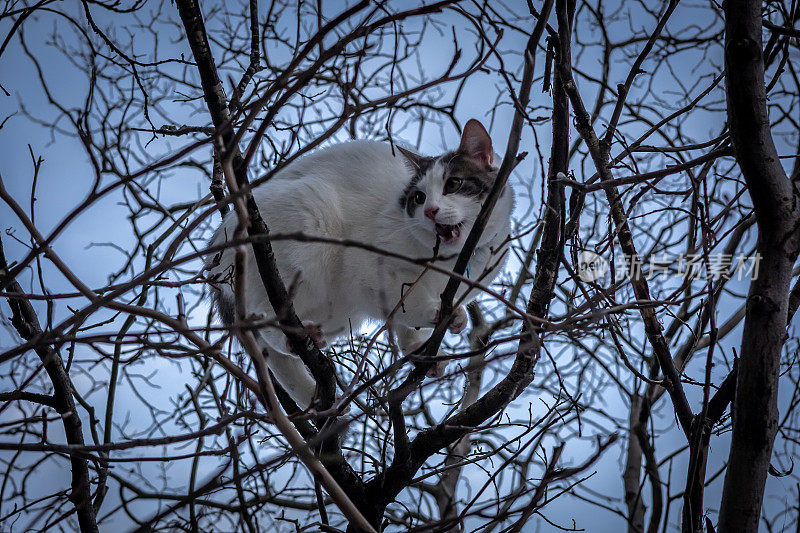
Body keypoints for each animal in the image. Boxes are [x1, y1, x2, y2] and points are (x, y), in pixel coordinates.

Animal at [208, 117, 512, 408]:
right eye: (419, 197)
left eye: (453, 184)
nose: (430, 210)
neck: (451, 264)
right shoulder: (371, 273)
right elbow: (406, 305)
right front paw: (438, 312)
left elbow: (404, 325)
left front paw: (420, 350)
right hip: (307, 220)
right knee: (262, 318)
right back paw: (293, 336)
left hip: (336, 313)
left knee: (275, 353)